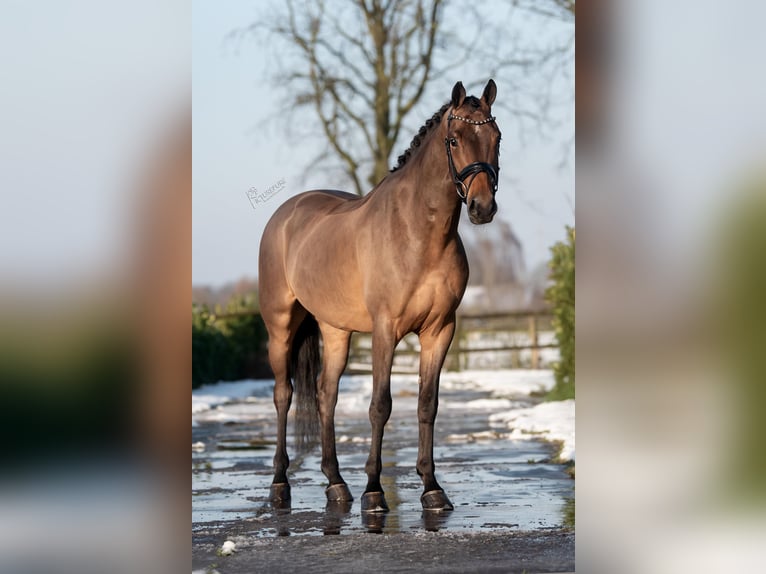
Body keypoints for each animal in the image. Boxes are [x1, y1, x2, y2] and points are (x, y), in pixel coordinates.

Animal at [260, 80, 500, 512]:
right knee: (284, 395)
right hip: (280, 327)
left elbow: (427, 404)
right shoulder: (385, 329)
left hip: (335, 330)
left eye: (497, 138)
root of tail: (285, 215)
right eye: (454, 139)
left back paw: (336, 484)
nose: (482, 207)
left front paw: (432, 488)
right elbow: (380, 406)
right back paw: (280, 484)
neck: (419, 233)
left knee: (325, 394)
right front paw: (374, 491)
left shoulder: (440, 330)